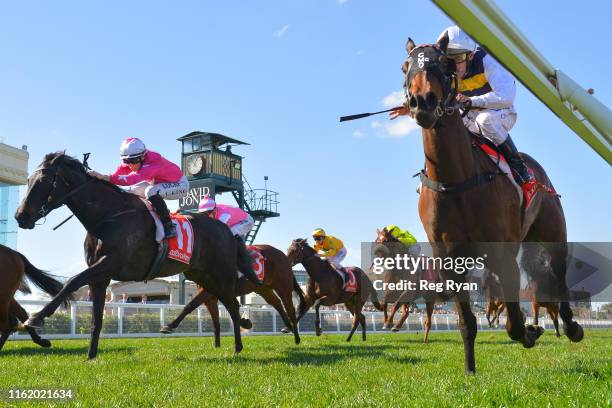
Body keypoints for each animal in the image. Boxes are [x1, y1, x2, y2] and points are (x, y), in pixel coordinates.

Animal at [16, 152, 260, 356]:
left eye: (43, 181)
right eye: (27, 181)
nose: (21, 216)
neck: (109, 215)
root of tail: (227, 231)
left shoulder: (109, 263)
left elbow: (72, 282)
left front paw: (36, 317)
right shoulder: (101, 276)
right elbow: (96, 319)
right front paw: (91, 356)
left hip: (220, 273)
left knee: (232, 305)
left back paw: (238, 347)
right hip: (201, 275)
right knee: (223, 302)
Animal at [161, 244, 308, 346]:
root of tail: (284, 257)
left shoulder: (209, 291)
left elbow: (190, 305)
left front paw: (169, 326)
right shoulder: (211, 295)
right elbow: (217, 317)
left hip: (283, 287)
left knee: (290, 308)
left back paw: (296, 336)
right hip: (263, 289)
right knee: (277, 303)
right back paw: (288, 327)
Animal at [402, 35, 584, 372]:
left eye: (444, 63)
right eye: (406, 66)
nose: (423, 102)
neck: (457, 179)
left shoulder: (503, 253)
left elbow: (514, 324)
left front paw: (531, 330)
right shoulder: (451, 262)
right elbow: (468, 324)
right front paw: (470, 371)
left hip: (553, 234)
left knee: (559, 276)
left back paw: (571, 326)